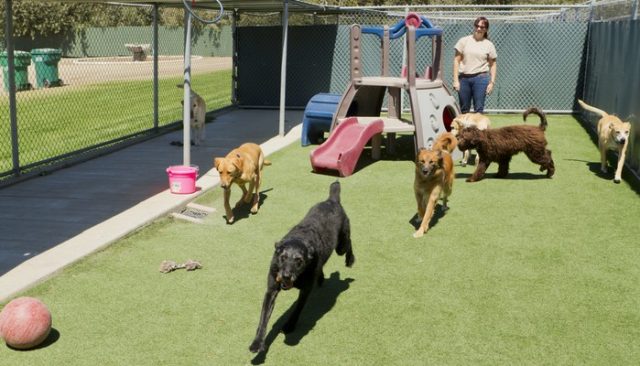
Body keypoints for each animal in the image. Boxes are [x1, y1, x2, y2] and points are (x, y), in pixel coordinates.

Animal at [249, 182, 356, 354]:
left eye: (299, 261)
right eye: (283, 257)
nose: (286, 276)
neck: (300, 238)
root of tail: (332, 200)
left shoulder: (305, 290)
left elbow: (297, 310)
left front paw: (289, 326)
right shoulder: (271, 290)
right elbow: (263, 318)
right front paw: (257, 343)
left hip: (341, 245)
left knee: (349, 243)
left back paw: (350, 260)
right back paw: (321, 277)